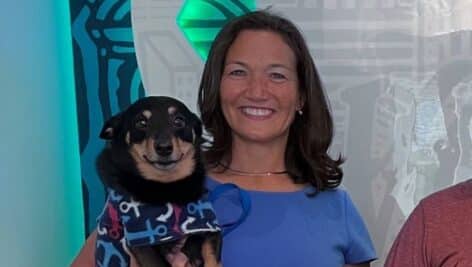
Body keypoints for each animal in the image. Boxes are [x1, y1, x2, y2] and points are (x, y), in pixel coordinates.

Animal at [96, 97, 223, 267]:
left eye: (179, 121)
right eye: (141, 123)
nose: (164, 147)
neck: (167, 187)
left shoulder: (210, 227)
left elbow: (211, 258)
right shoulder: (141, 242)